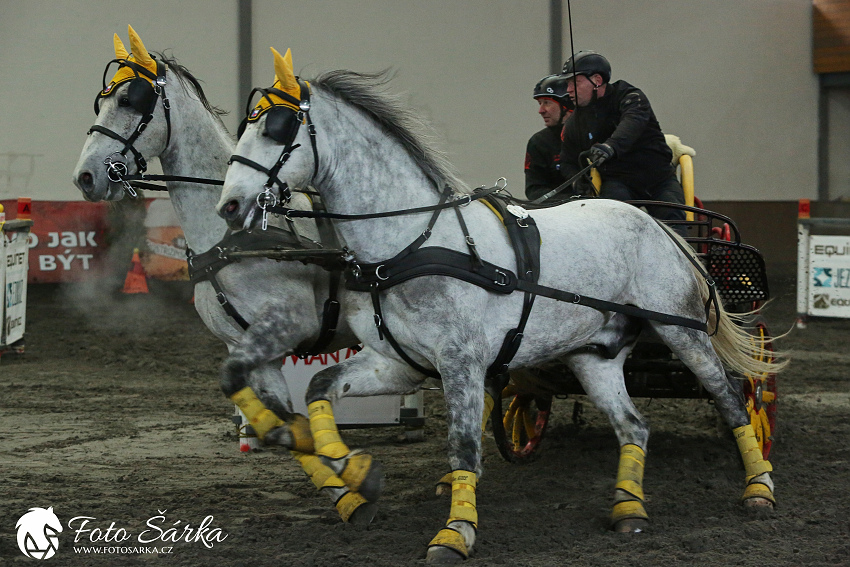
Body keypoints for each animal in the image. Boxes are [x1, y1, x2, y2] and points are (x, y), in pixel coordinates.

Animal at [215, 48, 784, 564]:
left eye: (279, 127)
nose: (230, 206)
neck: (411, 243)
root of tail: (655, 221)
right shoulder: (397, 363)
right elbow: (319, 388)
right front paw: (355, 476)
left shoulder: (462, 363)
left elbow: (464, 446)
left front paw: (455, 534)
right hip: (594, 356)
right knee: (633, 426)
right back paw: (628, 510)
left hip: (684, 332)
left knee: (730, 397)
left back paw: (758, 489)